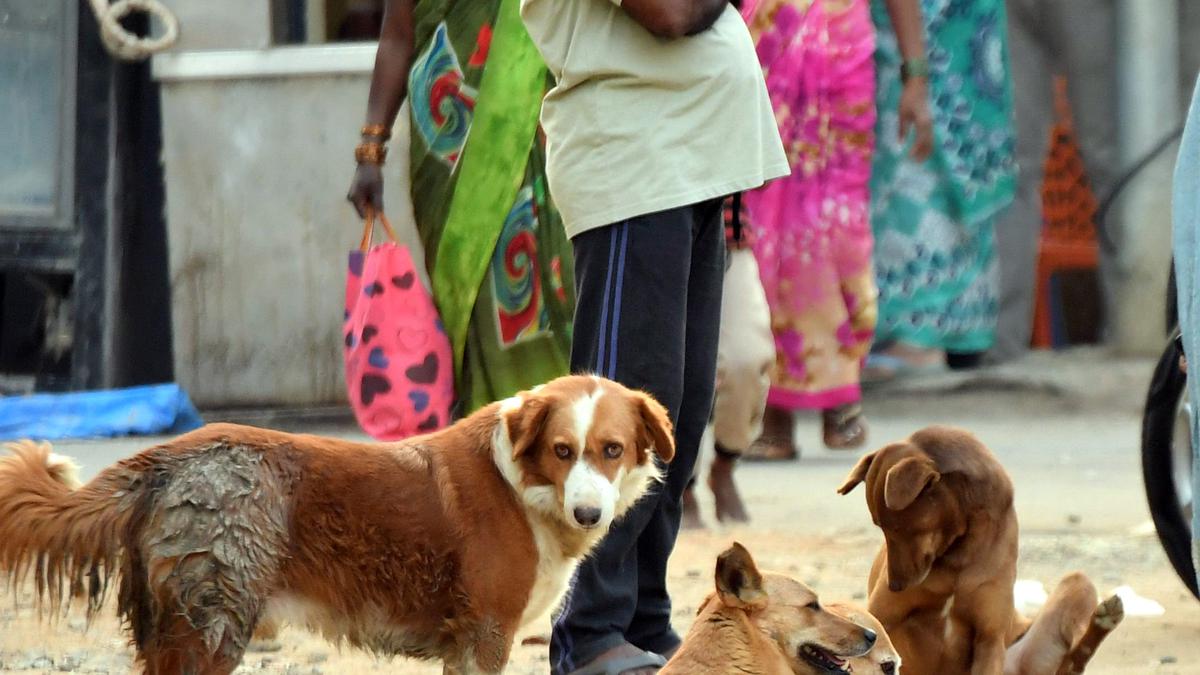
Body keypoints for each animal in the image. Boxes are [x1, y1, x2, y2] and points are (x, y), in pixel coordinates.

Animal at [0, 372, 676, 672]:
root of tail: (169, 456)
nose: (589, 511)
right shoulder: (485, 634)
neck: (523, 485)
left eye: (611, 450)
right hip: (212, 627)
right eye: (563, 451)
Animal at [835, 425, 1123, 672]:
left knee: (1072, 660)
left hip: (1072, 587)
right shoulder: (880, 617)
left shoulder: (989, 639)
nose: (894, 586)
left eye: (897, 528)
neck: (956, 553)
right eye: (881, 527)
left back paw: (1104, 619)